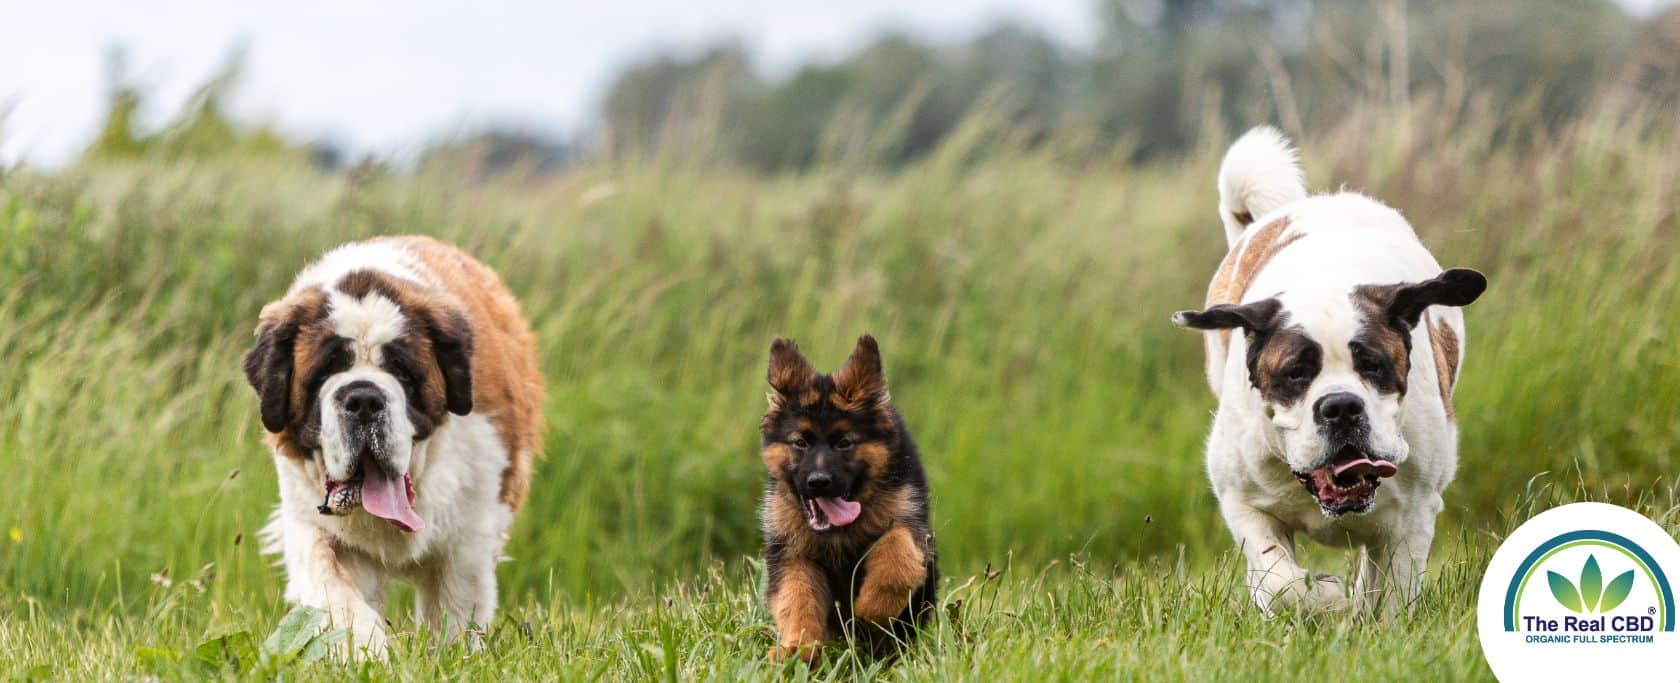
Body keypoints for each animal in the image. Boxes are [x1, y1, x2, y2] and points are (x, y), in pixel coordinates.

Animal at [243, 236, 540, 657]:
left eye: (402, 371)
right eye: (325, 372)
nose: (364, 399)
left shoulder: (473, 526)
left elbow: (455, 603)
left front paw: (449, 655)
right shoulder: (309, 521)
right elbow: (334, 590)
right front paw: (363, 649)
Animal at [759, 335, 934, 664]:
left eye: (844, 443)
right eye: (800, 442)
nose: (818, 482)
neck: (838, 533)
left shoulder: (911, 518)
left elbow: (898, 552)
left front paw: (873, 609)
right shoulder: (791, 550)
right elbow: (796, 596)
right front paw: (797, 649)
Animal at [1176, 126, 1491, 614]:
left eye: (1374, 365)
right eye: (1295, 374)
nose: (1341, 407)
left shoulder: (1415, 513)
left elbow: (1394, 591)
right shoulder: (1242, 500)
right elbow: (1280, 580)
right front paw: (1327, 598)